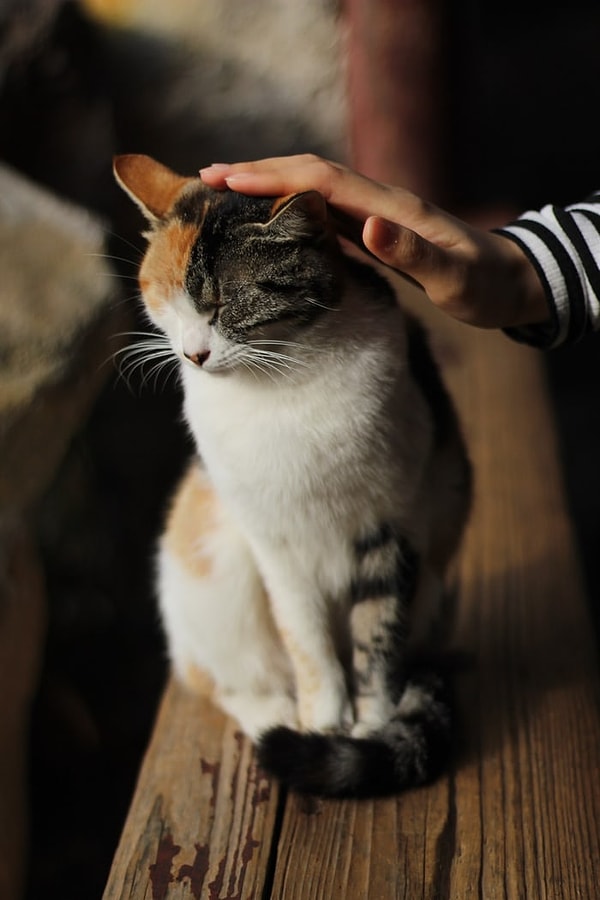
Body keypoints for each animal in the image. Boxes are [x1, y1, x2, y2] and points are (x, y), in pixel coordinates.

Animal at [113, 153, 474, 796]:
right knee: (221, 680)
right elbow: (305, 637)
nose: (193, 354)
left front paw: (371, 726)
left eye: (221, 306)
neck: (282, 380)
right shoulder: (274, 543)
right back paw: (274, 717)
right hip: (215, 578)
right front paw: (324, 720)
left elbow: (379, 636)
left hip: (433, 579)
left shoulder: (395, 525)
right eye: (168, 302)